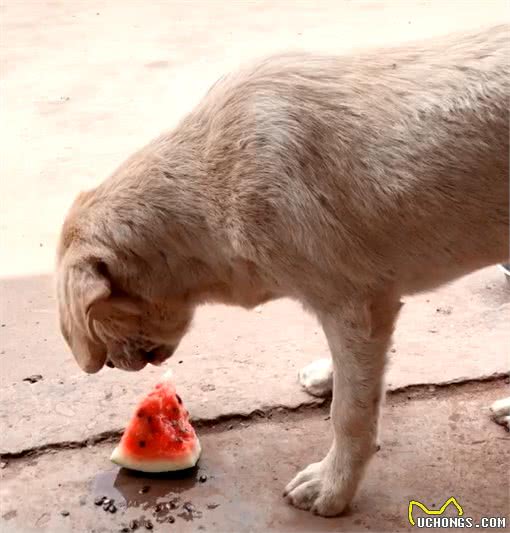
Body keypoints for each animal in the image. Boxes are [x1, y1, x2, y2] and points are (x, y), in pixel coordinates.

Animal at [56, 26, 510, 516]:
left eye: (92, 323)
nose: (111, 366)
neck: (212, 188)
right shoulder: (356, 315)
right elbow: (354, 381)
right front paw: (330, 379)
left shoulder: (356, 306)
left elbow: (350, 415)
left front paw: (333, 487)